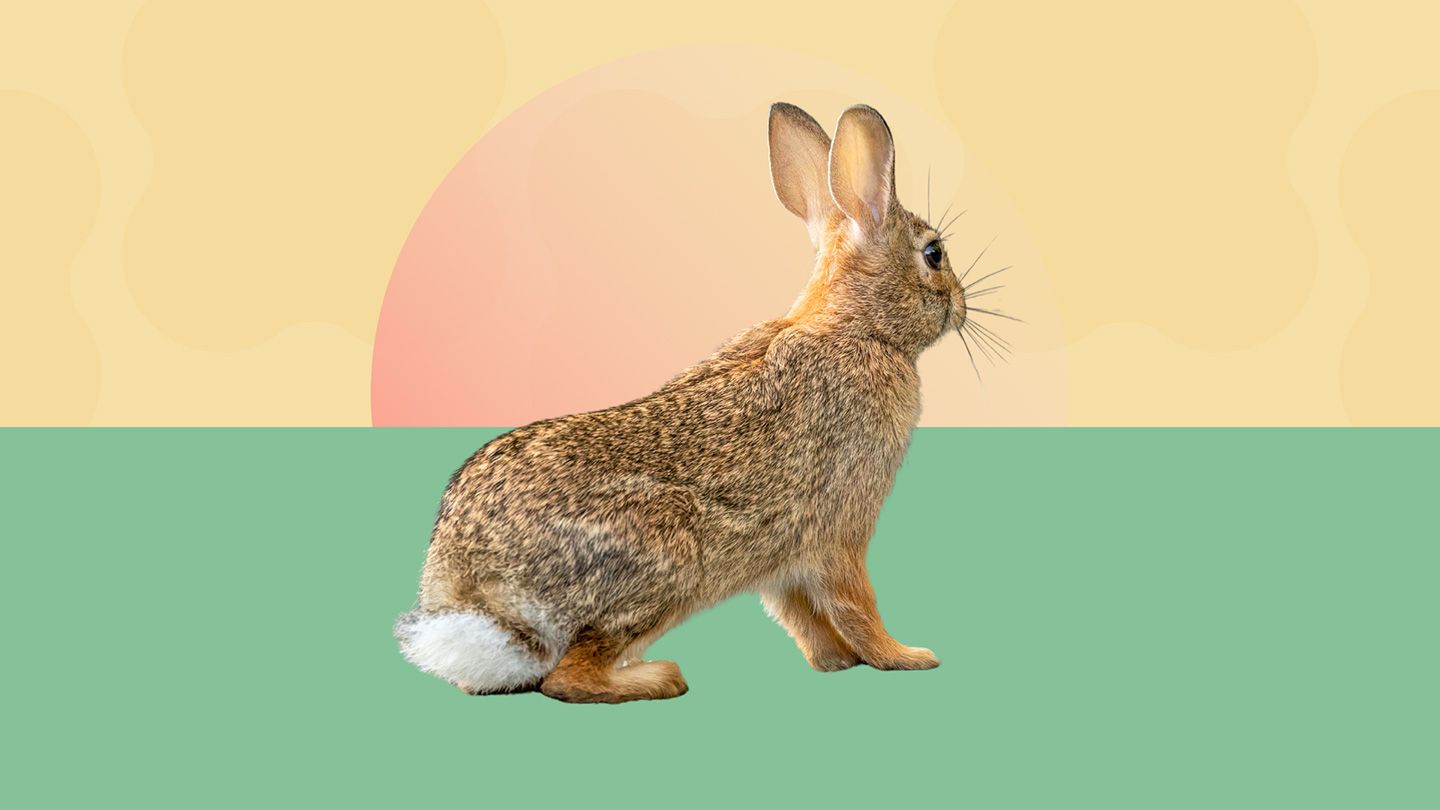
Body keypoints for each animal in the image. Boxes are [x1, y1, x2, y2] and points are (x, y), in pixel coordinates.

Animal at [396, 102, 973, 703]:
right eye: (934, 254)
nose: (962, 303)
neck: (860, 328)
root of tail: (469, 595)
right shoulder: (841, 528)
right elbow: (856, 604)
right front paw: (906, 657)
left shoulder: (781, 561)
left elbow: (800, 616)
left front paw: (836, 662)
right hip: (669, 556)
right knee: (568, 676)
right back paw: (658, 677)